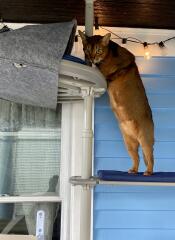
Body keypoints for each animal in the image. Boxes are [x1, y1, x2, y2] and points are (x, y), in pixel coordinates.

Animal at [78, 31, 154, 175]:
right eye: (87, 49)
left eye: (98, 50)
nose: (91, 59)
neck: (110, 54)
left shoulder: (117, 66)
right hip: (129, 143)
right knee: (137, 157)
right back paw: (133, 170)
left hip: (145, 139)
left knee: (150, 157)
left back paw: (149, 172)